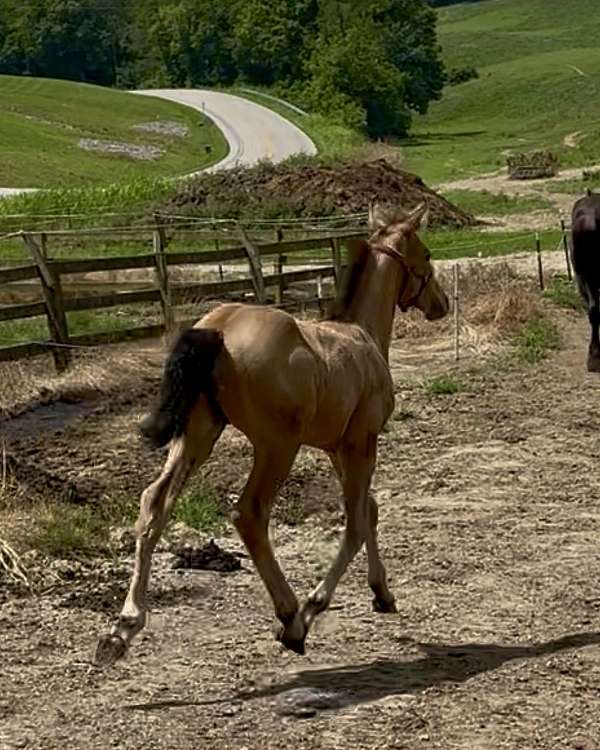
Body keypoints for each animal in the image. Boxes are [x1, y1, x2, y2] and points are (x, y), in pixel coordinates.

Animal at [95, 202, 450, 665]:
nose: (442, 304)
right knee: (249, 513)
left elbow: (369, 510)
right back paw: (290, 618)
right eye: (426, 254)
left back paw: (123, 627)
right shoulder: (362, 442)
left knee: (154, 502)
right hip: (277, 446)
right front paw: (314, 607)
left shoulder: (338, 448)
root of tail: (219, 328)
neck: (362, 335)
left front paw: (382, 593)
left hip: (198, 434)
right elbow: (355, 523)